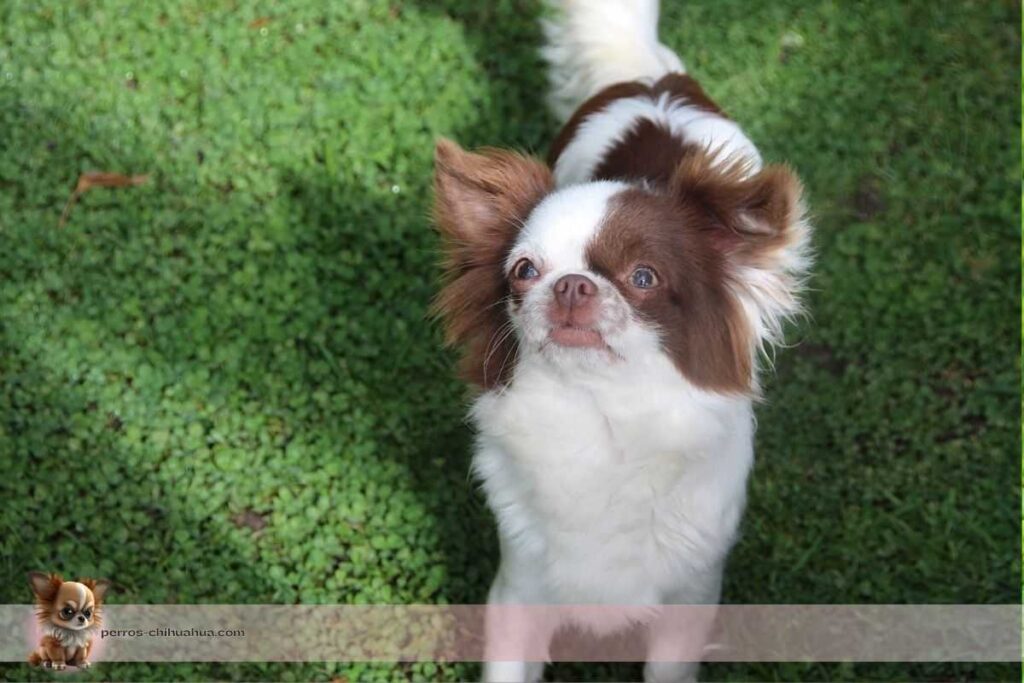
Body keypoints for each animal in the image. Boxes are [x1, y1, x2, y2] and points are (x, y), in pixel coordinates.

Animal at [430, 1, 806, 683]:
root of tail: (652, 83)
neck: (601, 416)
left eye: (644, 278)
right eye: (525, 270)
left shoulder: (688, 600)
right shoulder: (519, 589)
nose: (573, 284)